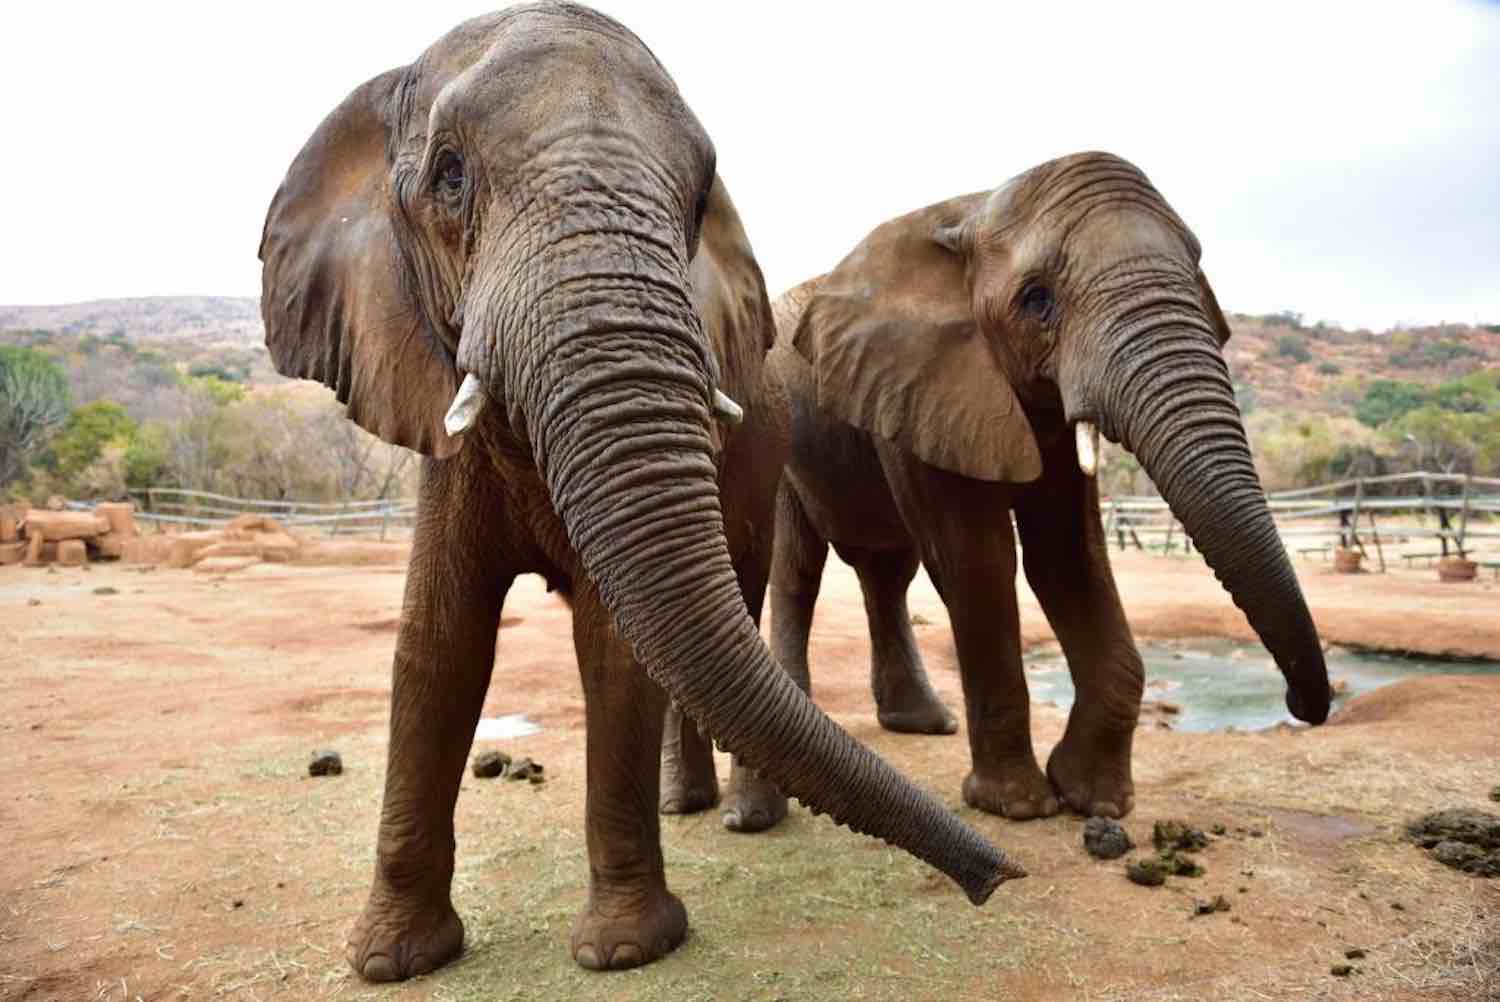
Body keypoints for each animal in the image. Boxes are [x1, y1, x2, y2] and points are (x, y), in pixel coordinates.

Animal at [257, 3, 1021, 979]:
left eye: (696, 201)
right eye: (450, 175)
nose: (1002, 878)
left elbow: (615, 649)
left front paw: (625, 951)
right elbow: (436, 646)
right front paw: (391, 960)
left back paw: (731, 816)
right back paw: (682, 808)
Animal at [685, 152, 1333, 833]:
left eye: (1199, 273)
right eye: (1037, 299)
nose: (1303, 703)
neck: (971, 211)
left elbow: (1068, 559)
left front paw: (1094, 798)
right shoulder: (923, 381)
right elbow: (978, 561)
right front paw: (1018, 806)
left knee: (886, 571)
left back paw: (923, 724)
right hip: (783, 437)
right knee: (799, 571)